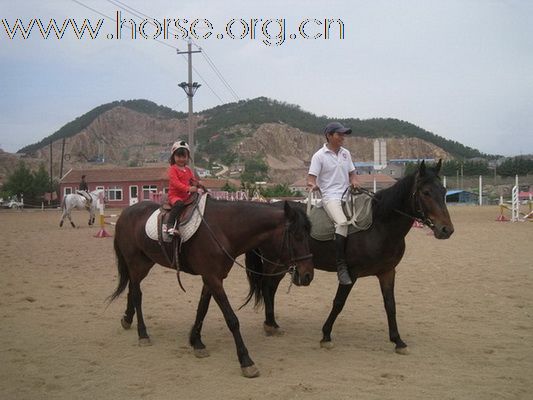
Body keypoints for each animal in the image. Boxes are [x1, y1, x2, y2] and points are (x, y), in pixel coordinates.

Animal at [108, 198, 314, 378]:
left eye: (308, 235)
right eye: (297, 236)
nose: (307, 275)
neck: (224, 230)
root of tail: (126, 213)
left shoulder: (212, 278)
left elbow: (202, 309)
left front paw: (196, 342)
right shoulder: (213, 278)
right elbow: (232, 319)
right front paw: (246, 361)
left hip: (144, 263)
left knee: (131, 290)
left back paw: (127, 319)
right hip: (136, 263)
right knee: (137, 294)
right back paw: (142, 334)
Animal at [243, 159, 450, 354]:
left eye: (444, 190)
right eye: (426, 192)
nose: (446, 229)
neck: (379, 226)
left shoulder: (387, 272)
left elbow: (390, 305)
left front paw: (398, 341)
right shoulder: (351, 273)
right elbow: (339, 303)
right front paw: (326, 335)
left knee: (271, 288)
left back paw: (272, 324)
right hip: (275, 263)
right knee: (267, 287)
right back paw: (270, 325)